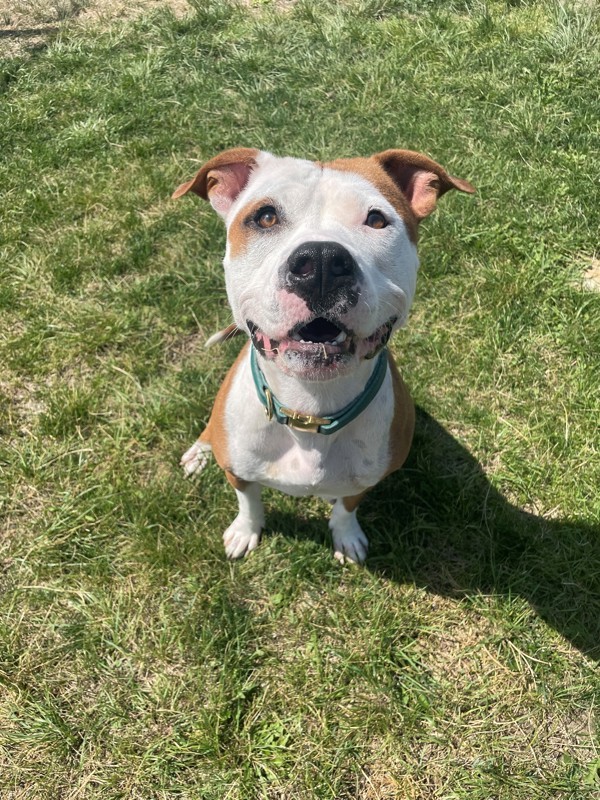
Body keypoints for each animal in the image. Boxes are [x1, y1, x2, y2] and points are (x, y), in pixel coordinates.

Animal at [172, 148, 474, 564]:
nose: (320, 261)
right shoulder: (239, 472)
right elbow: (248, 501)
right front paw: (245, 531)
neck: (310, 408)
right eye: (266, 217)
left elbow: (347, 507)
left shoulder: (364, 481)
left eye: (376, 219)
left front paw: (346, 536)